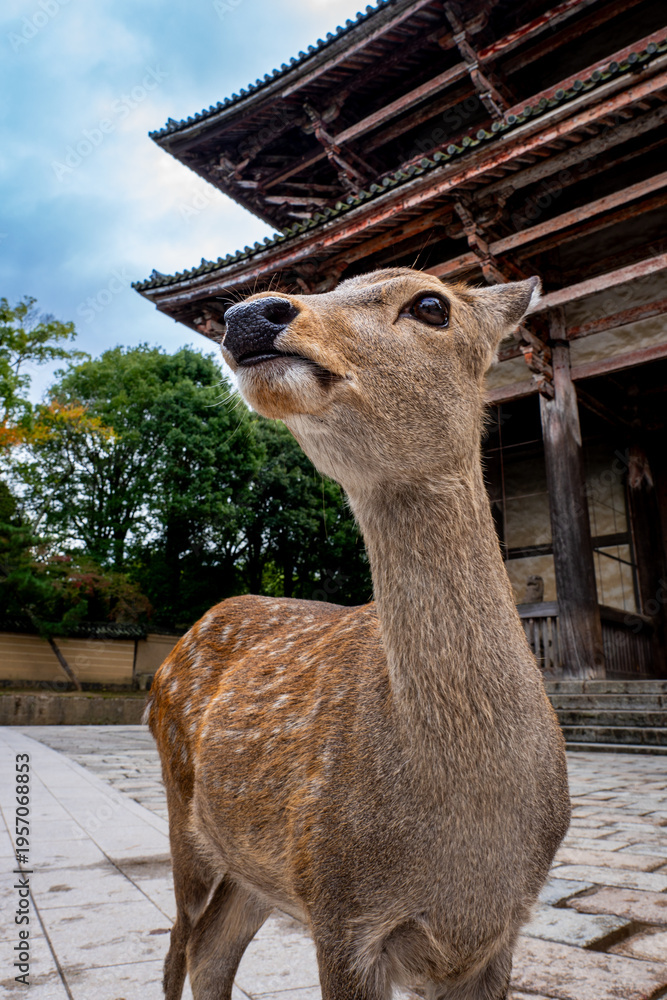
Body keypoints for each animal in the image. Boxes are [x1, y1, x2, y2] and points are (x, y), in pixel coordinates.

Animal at [145, 267, 570, 1000]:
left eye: (431, 304)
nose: (250, 313)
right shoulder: (338, 905)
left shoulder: (501, 933)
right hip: (184, 819)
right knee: (178, 950)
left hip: (255, 871)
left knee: (211, 952)